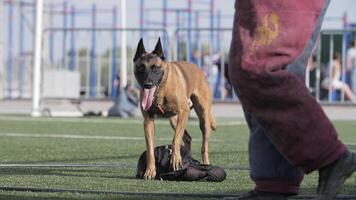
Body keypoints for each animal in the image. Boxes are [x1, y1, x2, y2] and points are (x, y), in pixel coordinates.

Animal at [134, 38, 216, 179]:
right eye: (141, 67)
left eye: (156, 68)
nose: (147, 85)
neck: (161, 91)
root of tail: (197, 68)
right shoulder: (148, 121)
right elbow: (150, 148)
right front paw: (150, 170)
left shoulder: (184, 111)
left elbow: (175, 140)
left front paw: (175, 159)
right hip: (174, 120)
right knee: (187, 138)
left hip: (203, 117)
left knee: (204, 145)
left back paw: (205, 163)